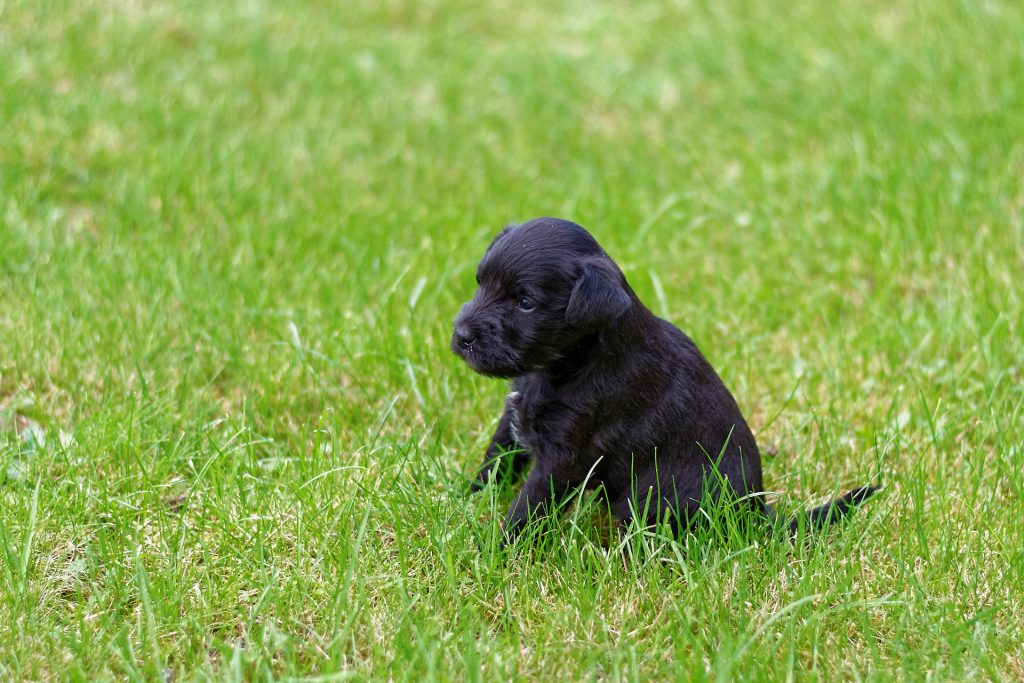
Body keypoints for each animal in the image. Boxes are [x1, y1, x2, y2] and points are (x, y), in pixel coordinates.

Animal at [452, 219, 876, 544]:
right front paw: (467, 498)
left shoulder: (564, 455)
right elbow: (496, 458)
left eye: (525, 302)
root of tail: (752, 511)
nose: (461, 335)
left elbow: (529, 505)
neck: (568, 362)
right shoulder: (515, 415)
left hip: (651, 496)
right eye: (480, 281)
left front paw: (497, 550)